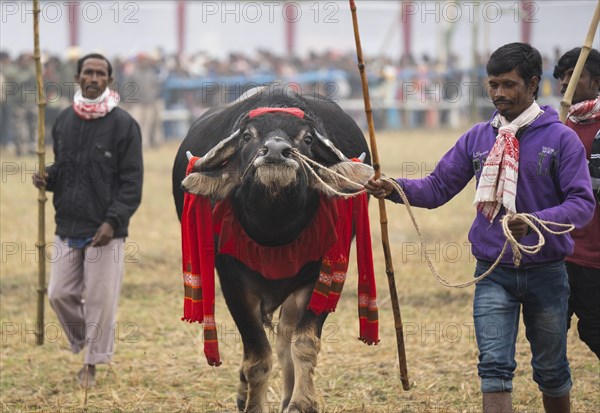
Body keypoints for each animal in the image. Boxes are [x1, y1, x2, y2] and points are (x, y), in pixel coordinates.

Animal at [171, 85, 376, 410]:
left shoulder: (318, 278)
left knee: (284, 340)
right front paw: (254, 404)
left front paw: (302, 403)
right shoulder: (233, 283)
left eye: (306, 138)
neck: (274, 228)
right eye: (247, 136)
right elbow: (257, 355)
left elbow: (304, 343)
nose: (277, 151)